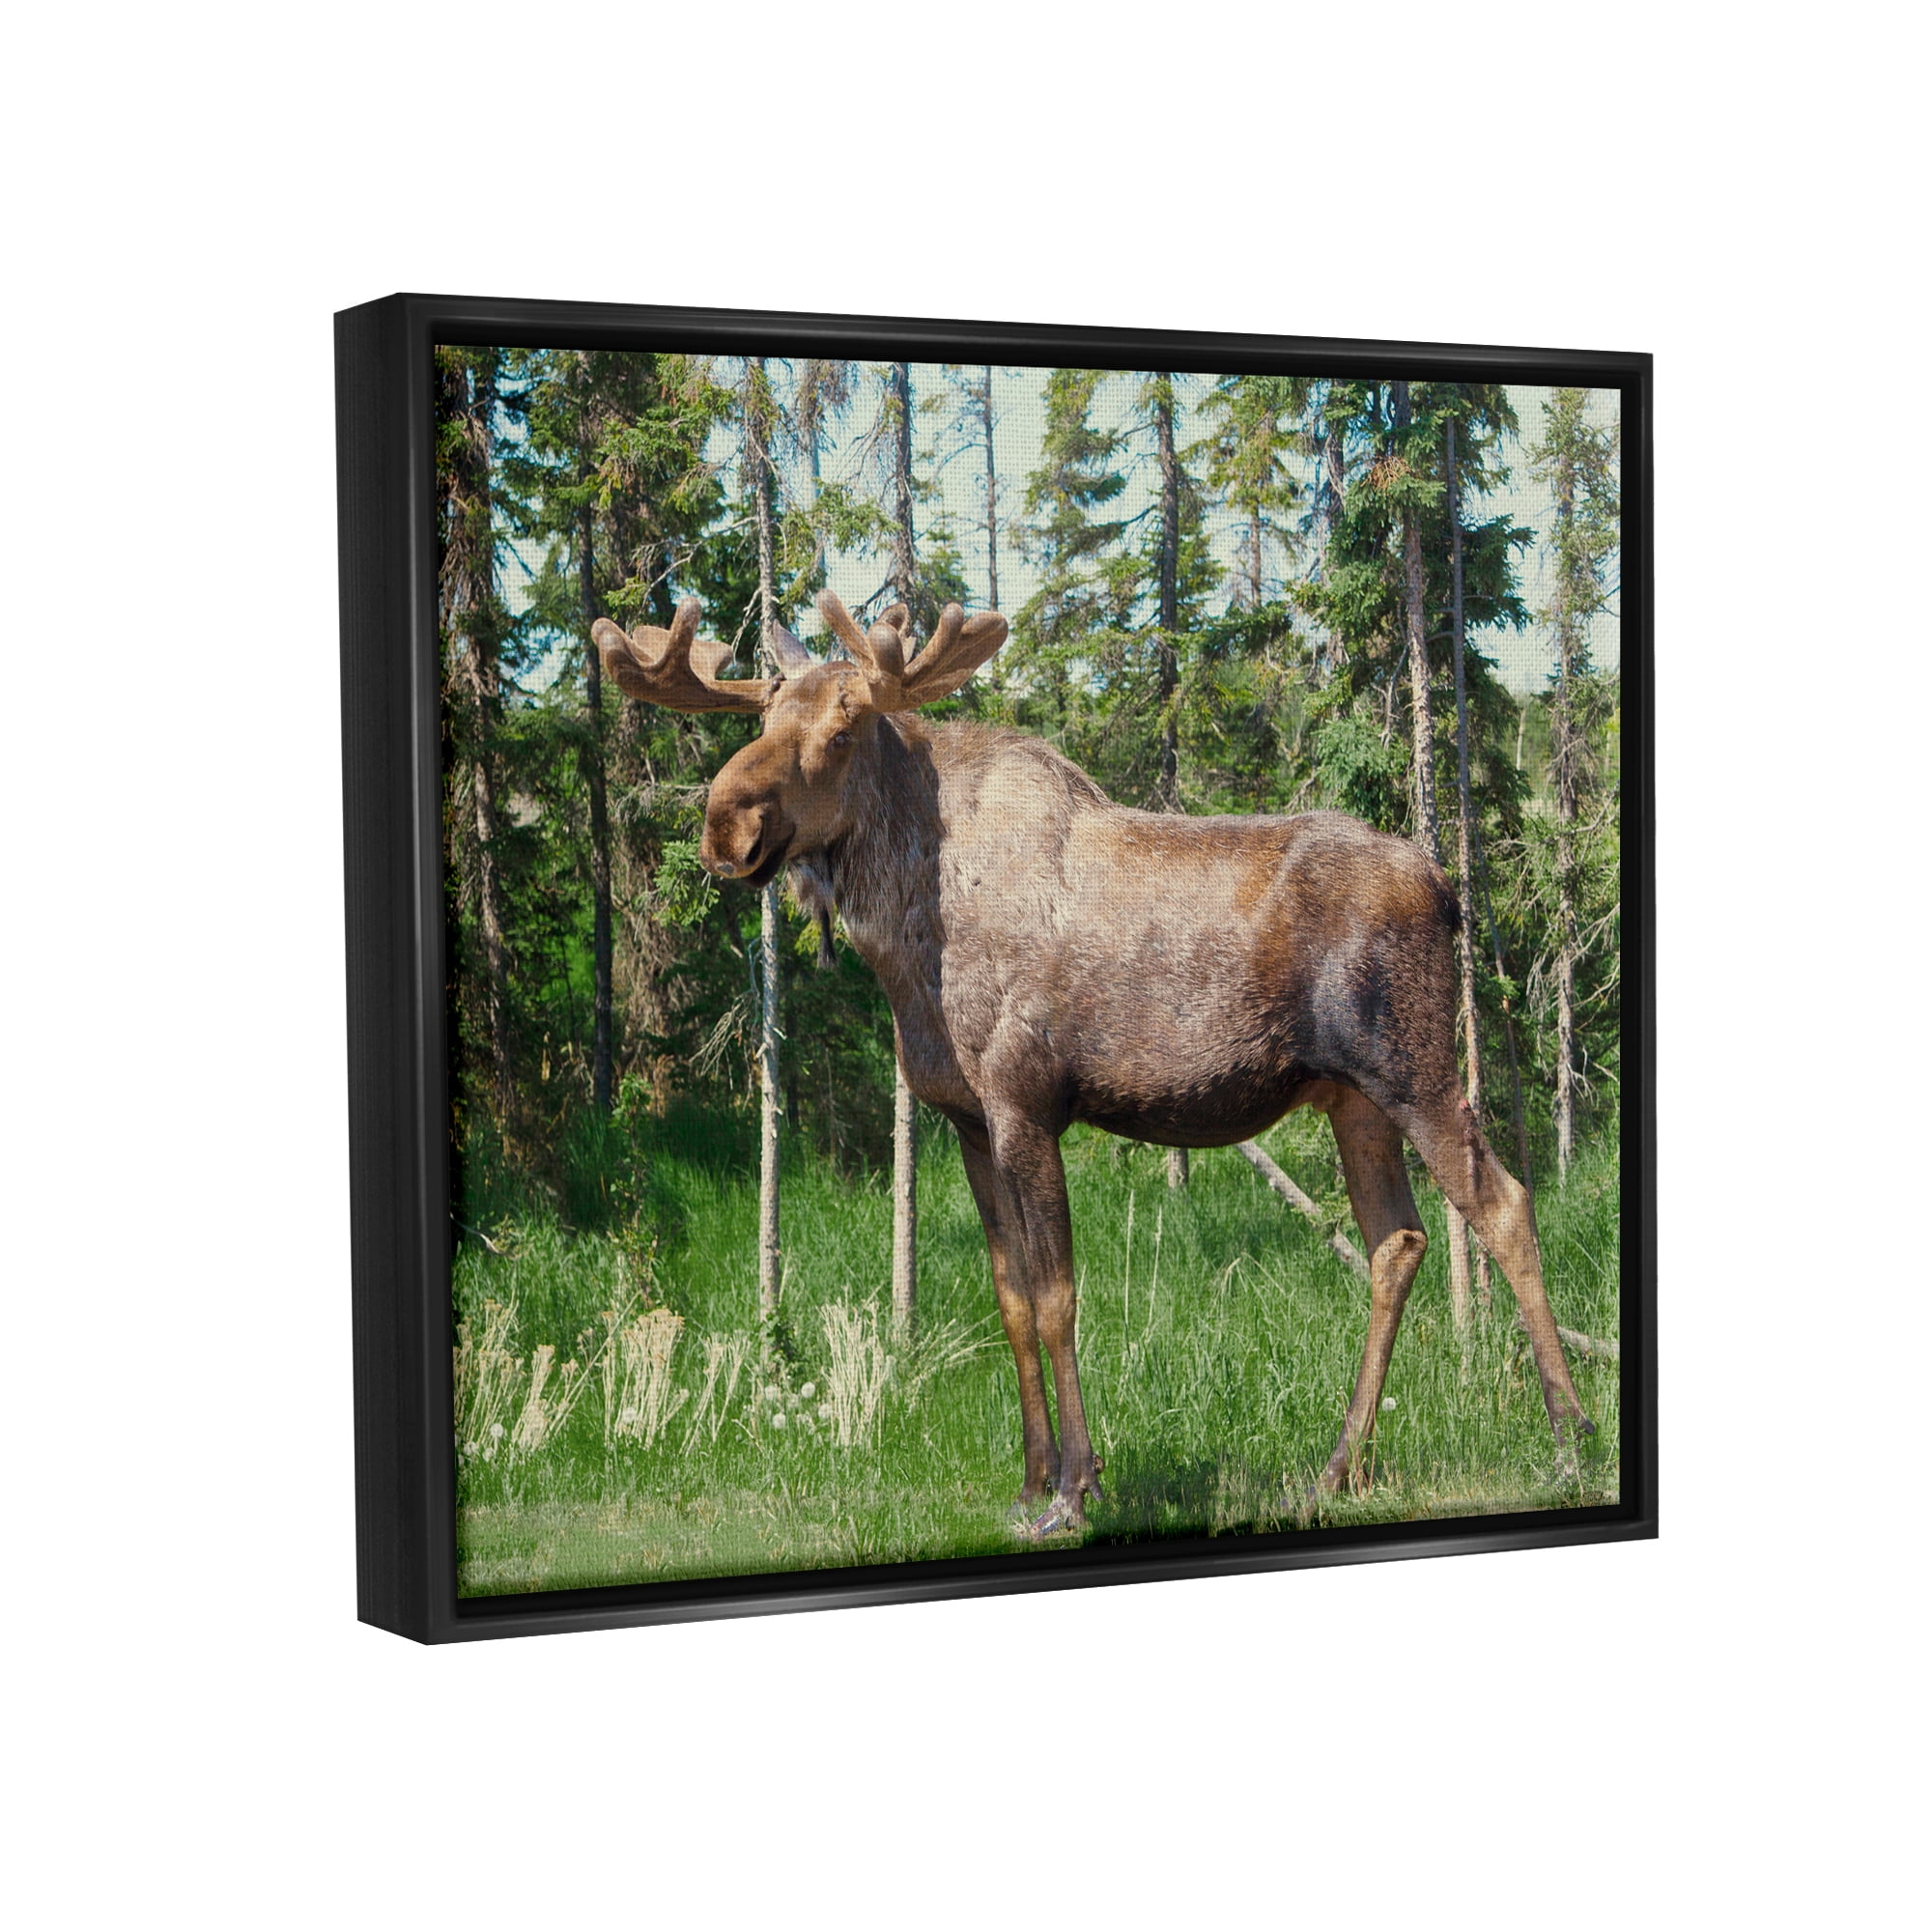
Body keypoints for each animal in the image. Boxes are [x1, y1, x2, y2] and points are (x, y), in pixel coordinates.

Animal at [591, 590, 1595, 1536]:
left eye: (844, 725)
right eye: (760, 715)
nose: (726, 827)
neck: (906, 946)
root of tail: (1450, 891)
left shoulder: (1026, 1105)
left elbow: (1056, 1297)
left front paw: (1075, 1491)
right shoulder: (967, 1121)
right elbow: (1008, 1300)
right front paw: (1030, 1479)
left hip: (1415, 1068)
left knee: (1505, 1206)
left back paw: (1568, 1437)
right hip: (1351, 1099)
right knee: (1399, 1240)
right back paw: (1340, 1466)